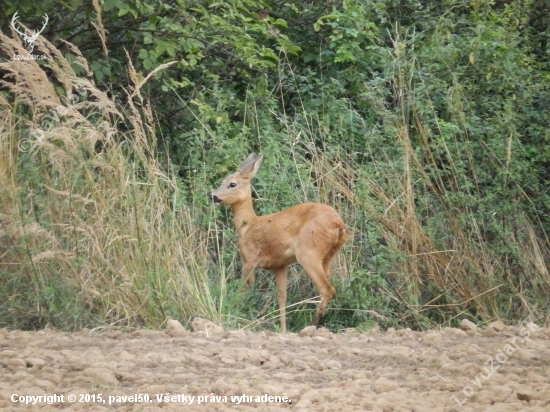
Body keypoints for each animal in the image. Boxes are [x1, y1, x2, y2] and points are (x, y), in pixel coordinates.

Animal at [212, 153, 350, 334]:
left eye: (232, 184)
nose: (213, 196)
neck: (248, 225)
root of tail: (338, 224)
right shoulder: (280, 266)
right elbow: (282, 296)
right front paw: (283, 330)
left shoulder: (249, 259)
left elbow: (242, 289)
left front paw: (231, 314)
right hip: (328, 256)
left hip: (308, 252)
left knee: (327, 289)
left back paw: (310, 326)